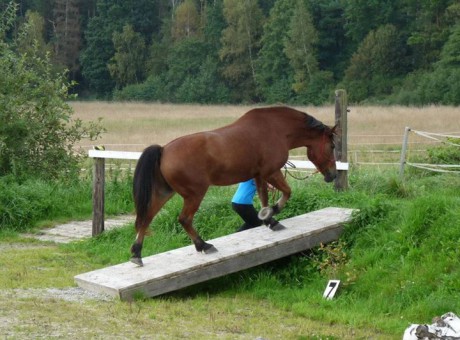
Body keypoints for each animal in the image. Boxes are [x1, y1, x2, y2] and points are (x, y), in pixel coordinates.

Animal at [130, 106, 338, 266]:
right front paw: (273, 211)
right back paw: (204, 245)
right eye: (332, 146)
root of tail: (164, 150)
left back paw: (137, 254)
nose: (333, 175)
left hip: (164, 193)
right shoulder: (271, 172)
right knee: (184, 219)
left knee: (146, 218)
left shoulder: (258, 176)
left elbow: (263, 197)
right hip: (194, 194)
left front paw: (268, 219)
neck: (276, 128)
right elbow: (287, 192)